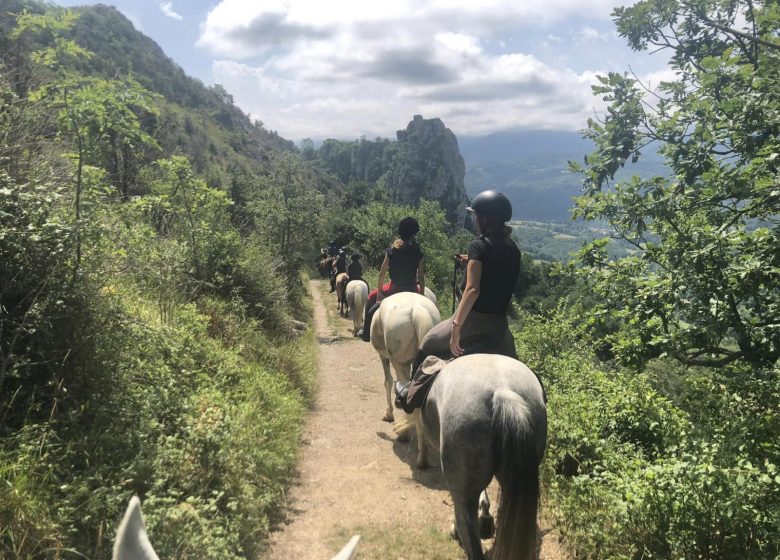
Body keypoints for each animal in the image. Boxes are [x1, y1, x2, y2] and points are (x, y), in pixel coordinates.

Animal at [370, 290, 438, 466]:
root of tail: (418, 310)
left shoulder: (383, 356)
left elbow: (387, 381)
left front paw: (388, 414)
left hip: (400, 363)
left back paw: (417, 452)